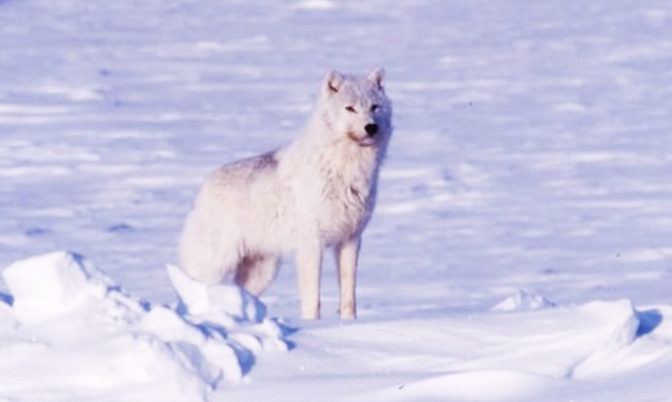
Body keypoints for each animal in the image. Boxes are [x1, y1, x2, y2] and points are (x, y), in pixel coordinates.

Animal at [178, 68, 392, 320]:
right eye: (350, 108)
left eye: (374, 107)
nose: (371, 127)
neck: (346, 170)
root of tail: (203, 187)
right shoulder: (311, 244)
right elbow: (313, 298)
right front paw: (312, 323)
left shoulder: (351, 240)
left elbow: (349, 296)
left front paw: (349, 323)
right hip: (215, 266)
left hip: (262, 274)